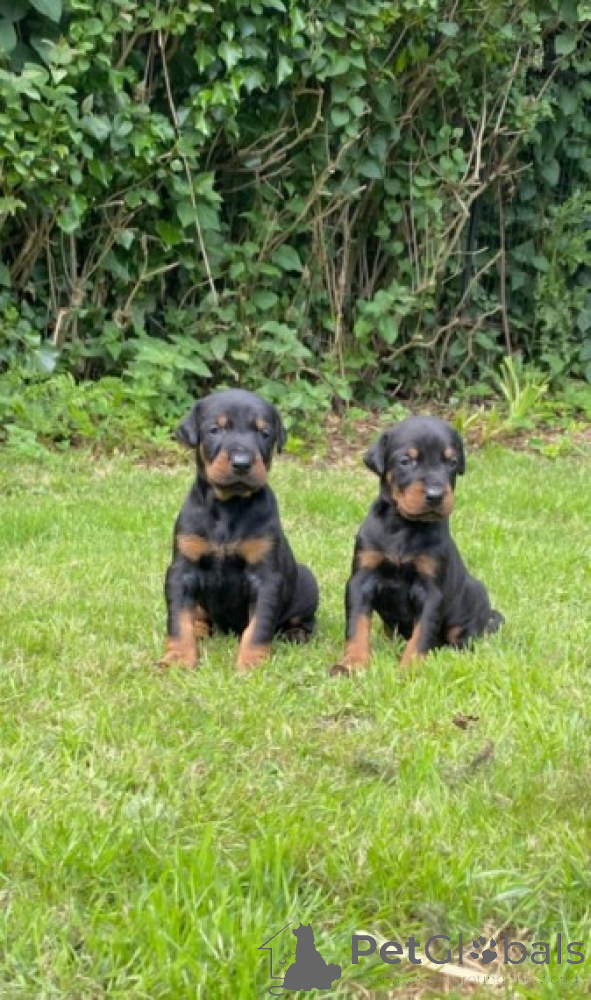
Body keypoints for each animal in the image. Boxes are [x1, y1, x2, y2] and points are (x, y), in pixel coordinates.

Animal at [160, 389, 318, 672]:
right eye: (215, 430)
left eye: (264, 432)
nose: (242, 463)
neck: (229, 506)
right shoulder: (182, 570)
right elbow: (178, 619)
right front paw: (179, 657)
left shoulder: (266, 578)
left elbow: (258, 626)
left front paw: (252, 663)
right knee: (197, 616)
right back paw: (199, 629)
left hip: (307, 584)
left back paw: (295, 634)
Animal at [331, 416, 503, 675]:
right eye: (405, 461)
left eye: (451, 462)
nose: (436, 495)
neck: (405, 526)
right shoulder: (362, 579)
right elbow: (357, 625)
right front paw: (352, 663)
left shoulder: (431, 590)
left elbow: (422, 633)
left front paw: (411, 669)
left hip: (473, 602)